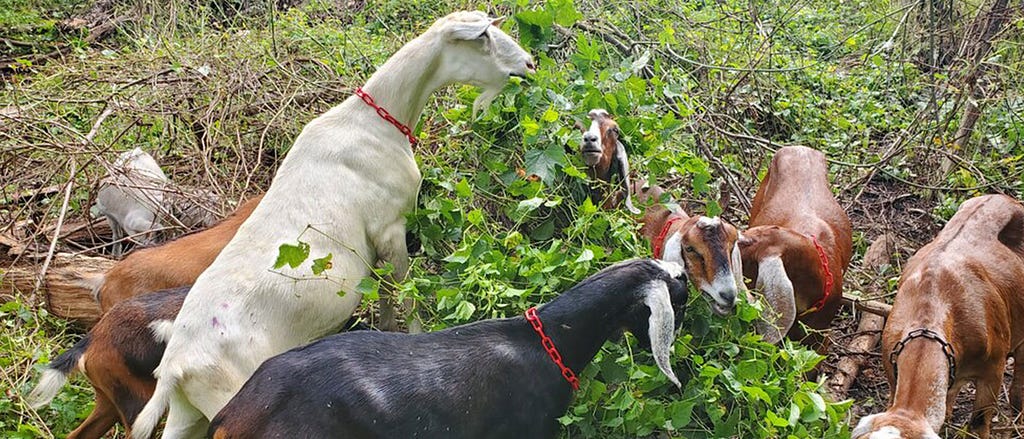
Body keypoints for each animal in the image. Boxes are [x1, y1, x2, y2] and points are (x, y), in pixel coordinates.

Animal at [131, 11, 532, 437]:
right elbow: (403, 291)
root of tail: (175, 367)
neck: (374, 122)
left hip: (188, 413)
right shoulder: (390, 225)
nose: (528, 64)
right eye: (484, 37)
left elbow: (383, 290)